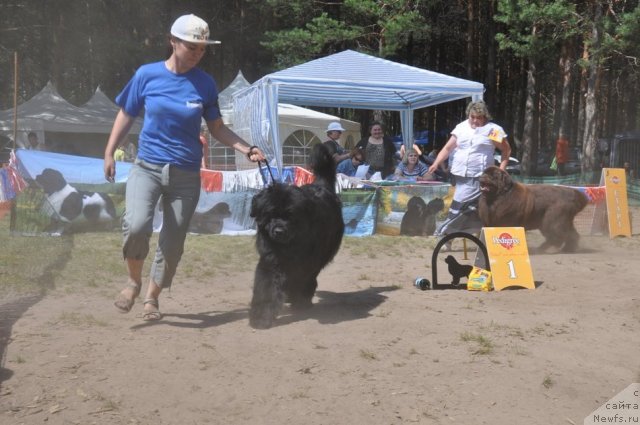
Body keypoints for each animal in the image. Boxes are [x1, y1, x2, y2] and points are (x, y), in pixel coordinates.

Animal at [248, 142, 344, 328]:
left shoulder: (307, 261)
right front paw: (261, 317)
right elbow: (266, 288)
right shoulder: (271, 260)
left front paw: (299, 301)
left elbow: (301, 279)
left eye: (291, 216)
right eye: (270, 215)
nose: (278, 231)